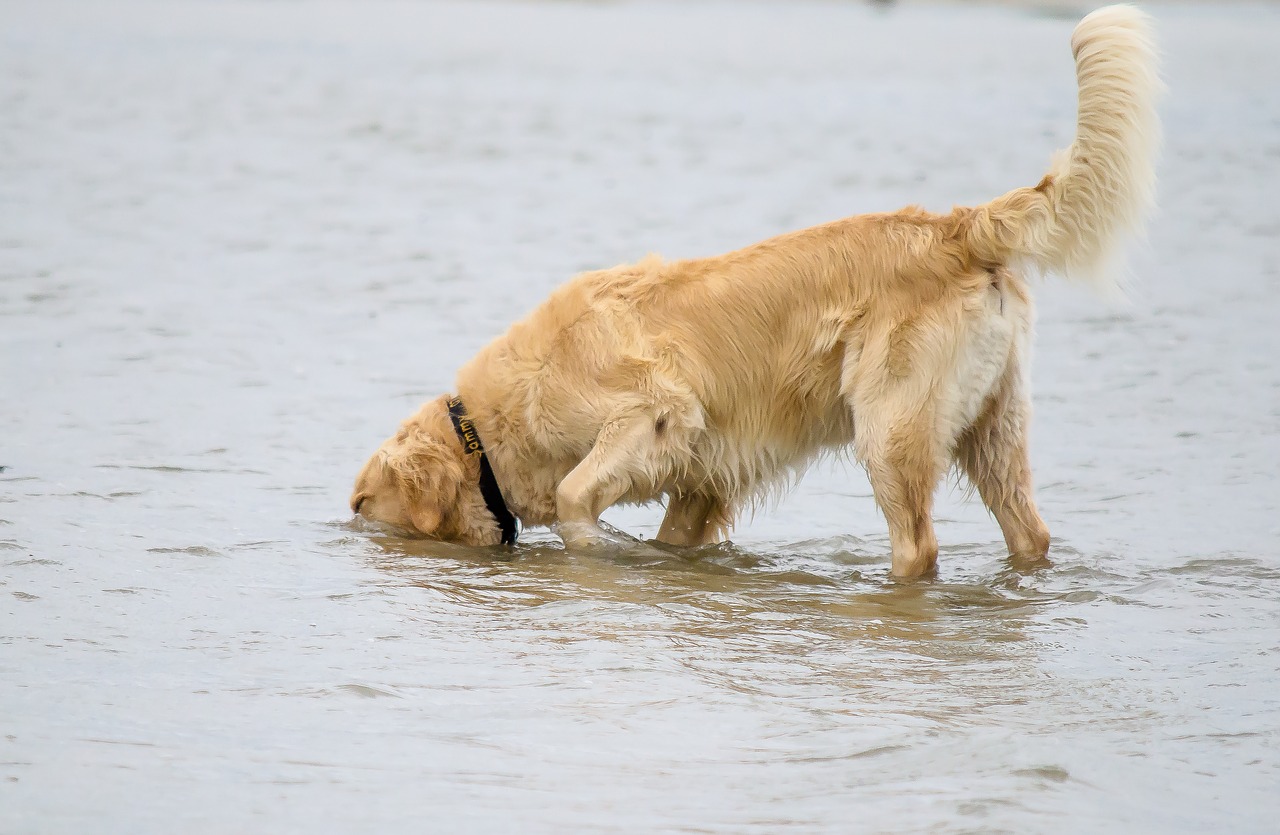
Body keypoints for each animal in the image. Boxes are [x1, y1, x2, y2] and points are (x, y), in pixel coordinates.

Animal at [353, 6, 1162, 576]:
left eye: (364, 503)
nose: (349, 523)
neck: (490, 422)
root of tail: (956, 228)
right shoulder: (703, 482)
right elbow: (676, 533)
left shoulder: (655, 410)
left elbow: (577, 493)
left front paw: (592, 546)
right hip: (993, 425)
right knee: (1029, 529)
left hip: (889, 425)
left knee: (918, 543)